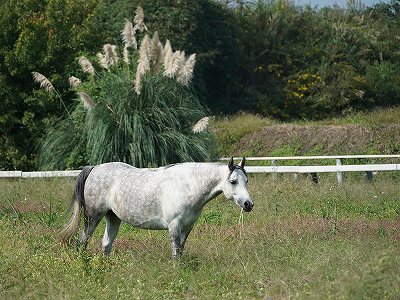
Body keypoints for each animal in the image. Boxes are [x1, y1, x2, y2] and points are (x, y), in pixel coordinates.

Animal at [60, 157, 253, 258]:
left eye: (246, 180)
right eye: (233, 181)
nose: (248, 204)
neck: (188, 185)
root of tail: (94, 169)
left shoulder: (187, 227)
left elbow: (181, 249)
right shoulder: (174, 225)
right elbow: (175, 251)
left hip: (113, 218)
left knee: (106, 244)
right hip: (93, 216)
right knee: (83, 240)